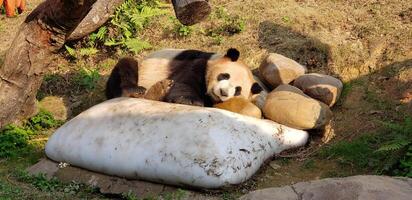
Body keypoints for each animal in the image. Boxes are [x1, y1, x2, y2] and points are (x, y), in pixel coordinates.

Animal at [104, 47, 262, 107]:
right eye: (224, 76)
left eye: (238, 90)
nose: (223, 92)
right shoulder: (198, 63)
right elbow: (184, 82)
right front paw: (190, 101)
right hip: (142, 68)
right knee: (126, 66)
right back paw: (133, 91)